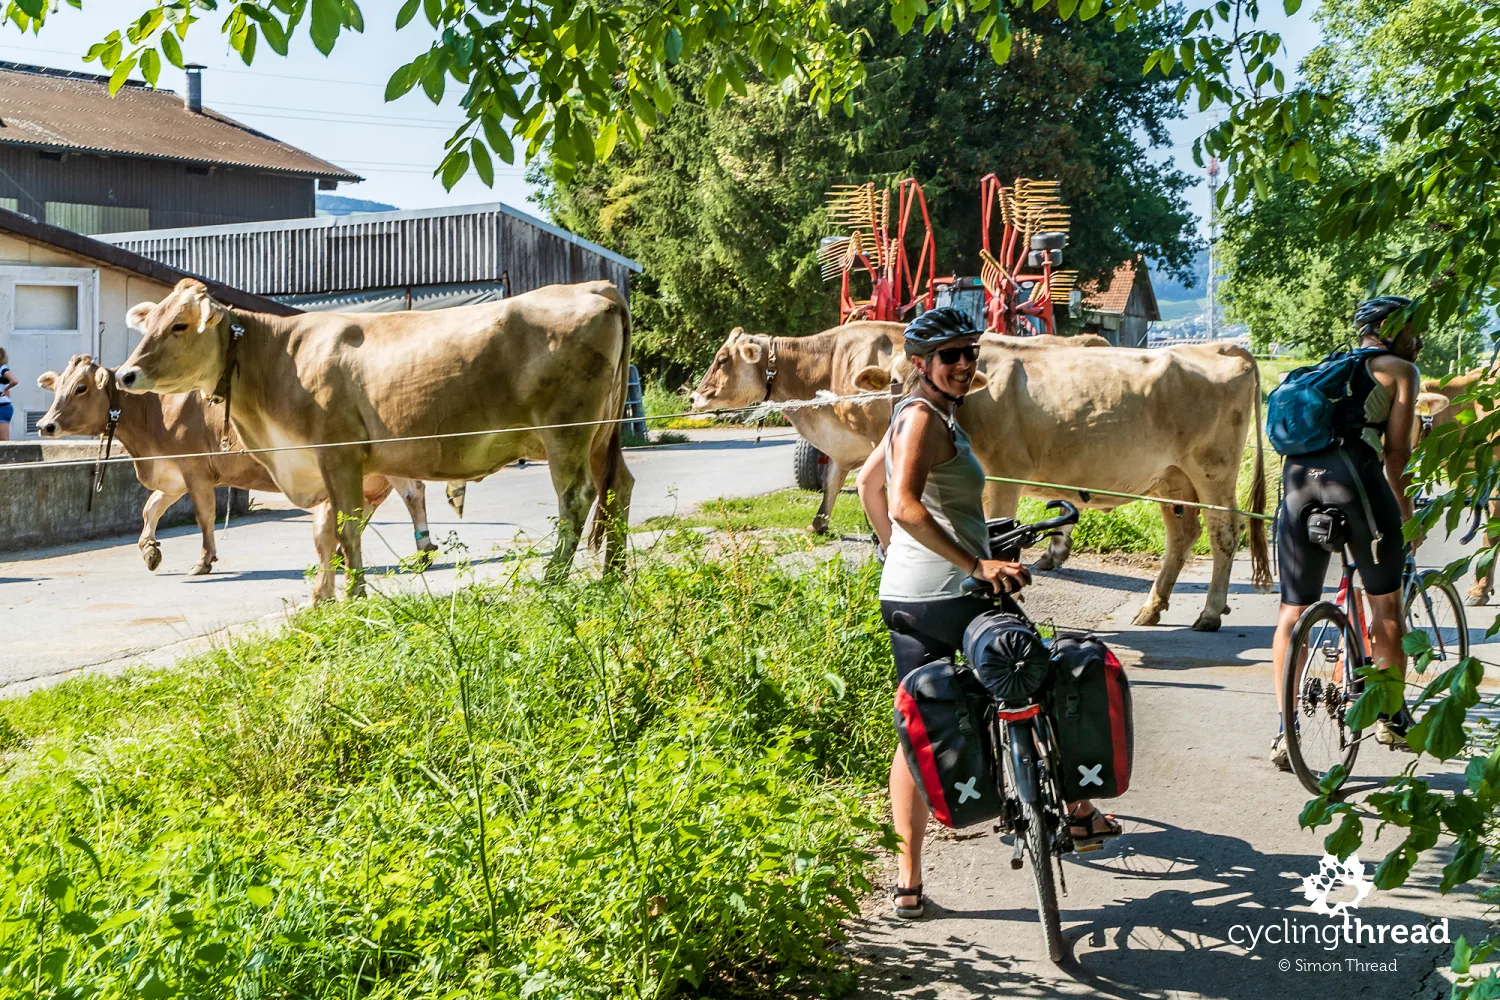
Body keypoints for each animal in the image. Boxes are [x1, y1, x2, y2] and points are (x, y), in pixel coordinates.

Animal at [35, 353, 438, 575]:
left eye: (81, 388)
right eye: (58, 388)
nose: (45, 425)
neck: (152, 415)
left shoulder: (196, 469)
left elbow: (205, 516)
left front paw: (204, 561)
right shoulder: (172, 475)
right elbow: (150, 510)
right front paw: (150, 551)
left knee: (412, 492)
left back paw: (423, 552)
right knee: (365, 504)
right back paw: (345, 554)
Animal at [114, 277, 630, 599]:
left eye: (180, 325)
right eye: (151, 323)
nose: (125, 374)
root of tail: (592, 287)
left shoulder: (338, 454)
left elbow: (345, 529)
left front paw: (355, 595)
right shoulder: (322, 463)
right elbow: (325, 533)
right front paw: (322, 598)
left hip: (565, 431)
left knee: (576, 497)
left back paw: (553, 578)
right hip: (600, 436)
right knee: (617, 488)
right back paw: (615, 572)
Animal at [864, 340, 1272, 629]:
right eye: (894, 380)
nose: (905, 416)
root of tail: (1218, 346)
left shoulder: (1003, 476)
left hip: (1213, 470)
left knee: (1224, 532)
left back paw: (1210, 612)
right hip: (1171, 479)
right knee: (1183, 534)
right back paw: (1151, 608)